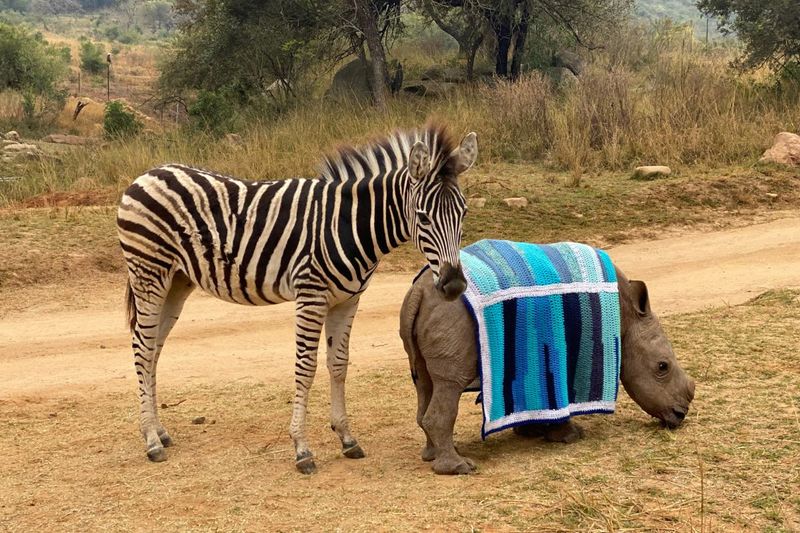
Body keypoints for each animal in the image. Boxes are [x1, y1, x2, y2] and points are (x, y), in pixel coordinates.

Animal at [399, 263, 696, 475]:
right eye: (662, 366)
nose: (679, 416)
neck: (627, 316)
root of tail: (417, 292)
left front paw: (531, 432)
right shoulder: (567, 348)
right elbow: (560, 396)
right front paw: (569, 437)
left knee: (425, 381)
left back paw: (433, 456)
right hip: (451, 317)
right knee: (449, 384)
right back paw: (460, 467)